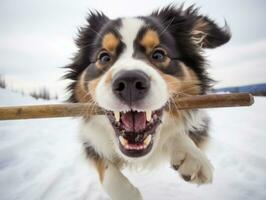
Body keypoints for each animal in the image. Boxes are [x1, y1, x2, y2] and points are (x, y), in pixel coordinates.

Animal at [64, 5, 231, 200]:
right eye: (104, 57)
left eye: (158, 54)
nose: (129, 82)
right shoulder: (90, 141)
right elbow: (107, 172)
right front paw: (127, 193)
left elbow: (177, 130)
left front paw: (192, 156)